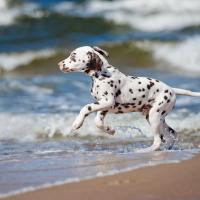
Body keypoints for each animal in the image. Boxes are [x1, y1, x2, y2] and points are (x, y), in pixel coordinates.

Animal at [57, 46, 200, 152]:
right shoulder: (105, 105)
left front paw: (77, 123)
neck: (102, 74)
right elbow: (98, 121)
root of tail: (171, 89)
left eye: (73, 56)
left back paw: (145, 150)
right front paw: (110, 130)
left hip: (154, 116)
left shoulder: (107, 101)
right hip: (155, 117)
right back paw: (168, 147)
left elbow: (86, 107)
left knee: (158, 140)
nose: (59, 64)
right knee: (171, 134)